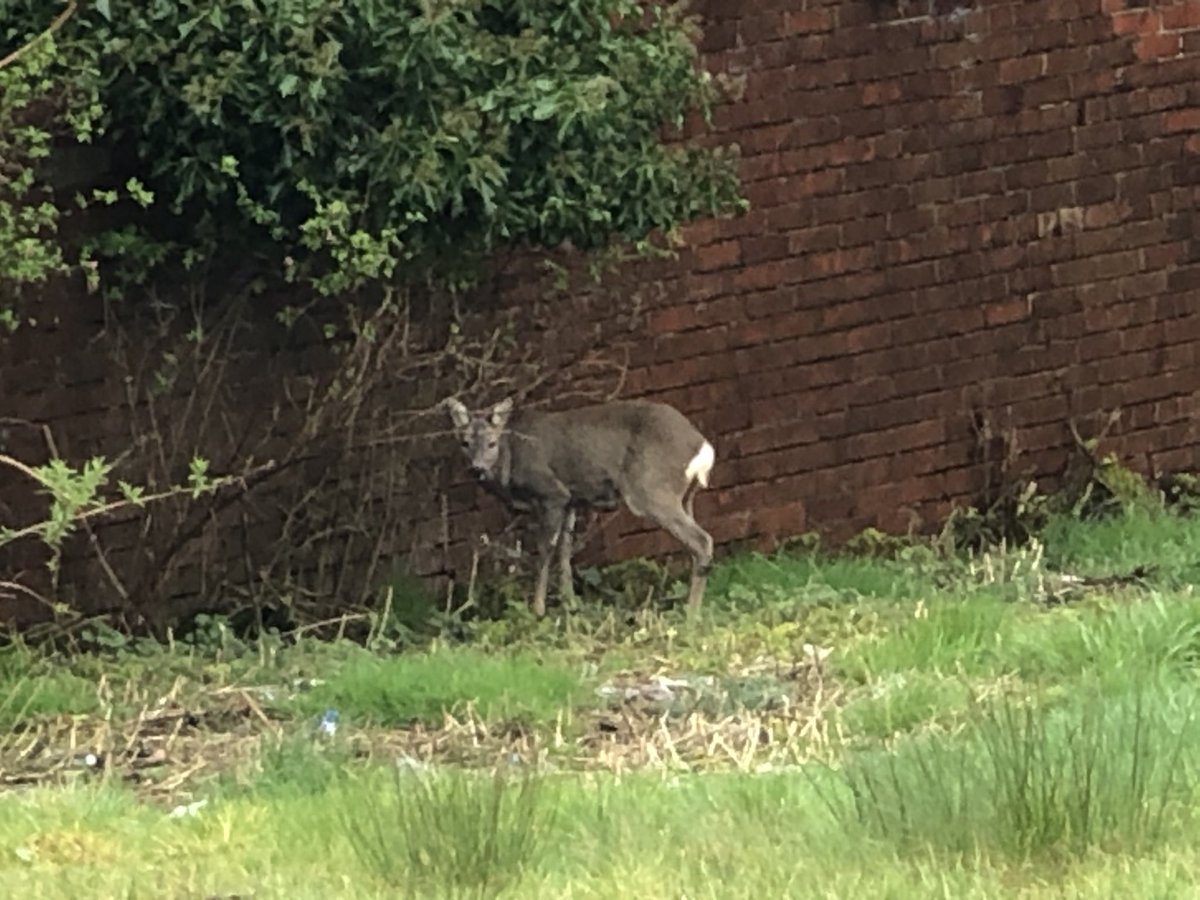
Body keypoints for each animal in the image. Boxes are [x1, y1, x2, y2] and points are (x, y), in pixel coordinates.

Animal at [448, 398, 710, 619]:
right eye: (465, 443)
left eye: (492, 443)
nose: (477, 468)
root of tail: (702, 447)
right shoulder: (571, 501)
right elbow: (565, 552)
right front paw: (571, 605)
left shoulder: (552, 493)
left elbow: (545, 552)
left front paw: (538, 610)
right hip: (685, 496)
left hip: (651, 488)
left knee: (702, 540)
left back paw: (691, 615)